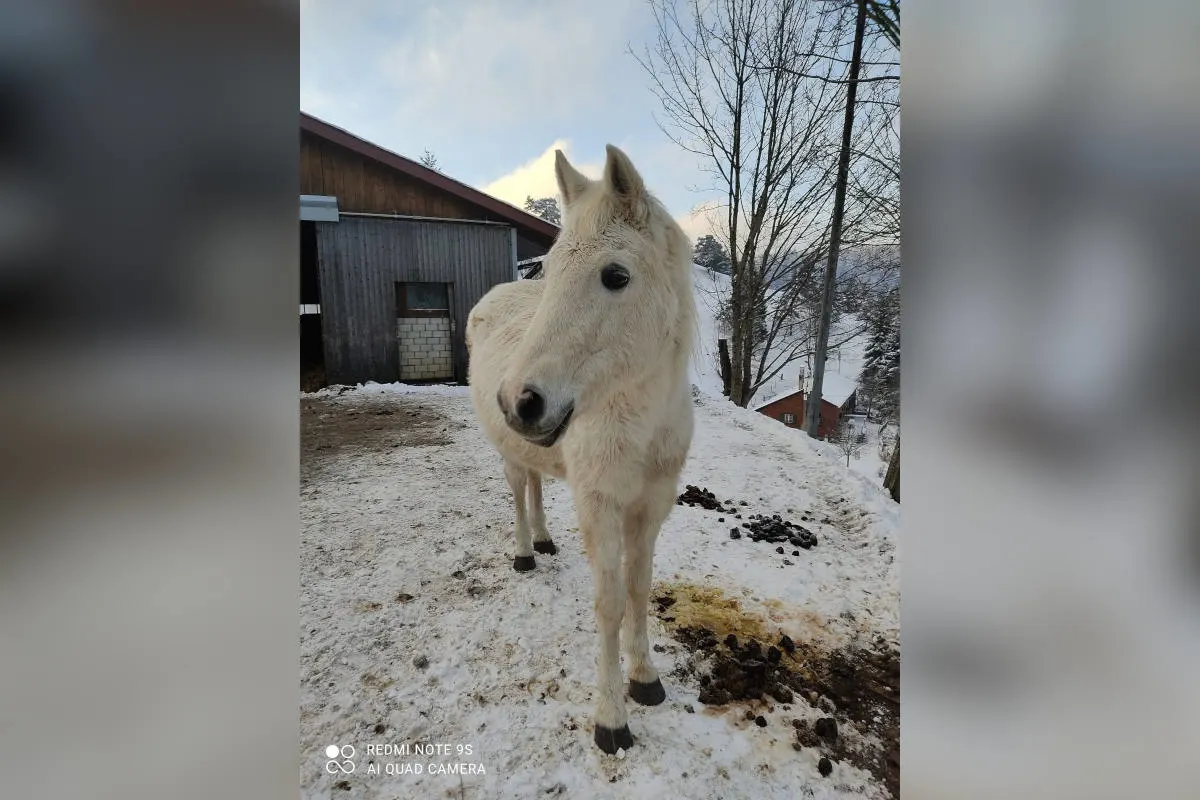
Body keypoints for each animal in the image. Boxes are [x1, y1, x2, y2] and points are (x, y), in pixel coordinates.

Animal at [466, 144, 696, 754]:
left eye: (615, 276)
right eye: (549, 271)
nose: (519, 401)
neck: (640, 422)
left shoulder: (652, 507)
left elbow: (639, 588)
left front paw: (646, 679)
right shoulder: (601, 505)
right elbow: (610, 602)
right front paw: (611, 717)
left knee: (538, 484)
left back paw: (546, 540)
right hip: (509, 455)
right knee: (519, 492)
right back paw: (526, 552)